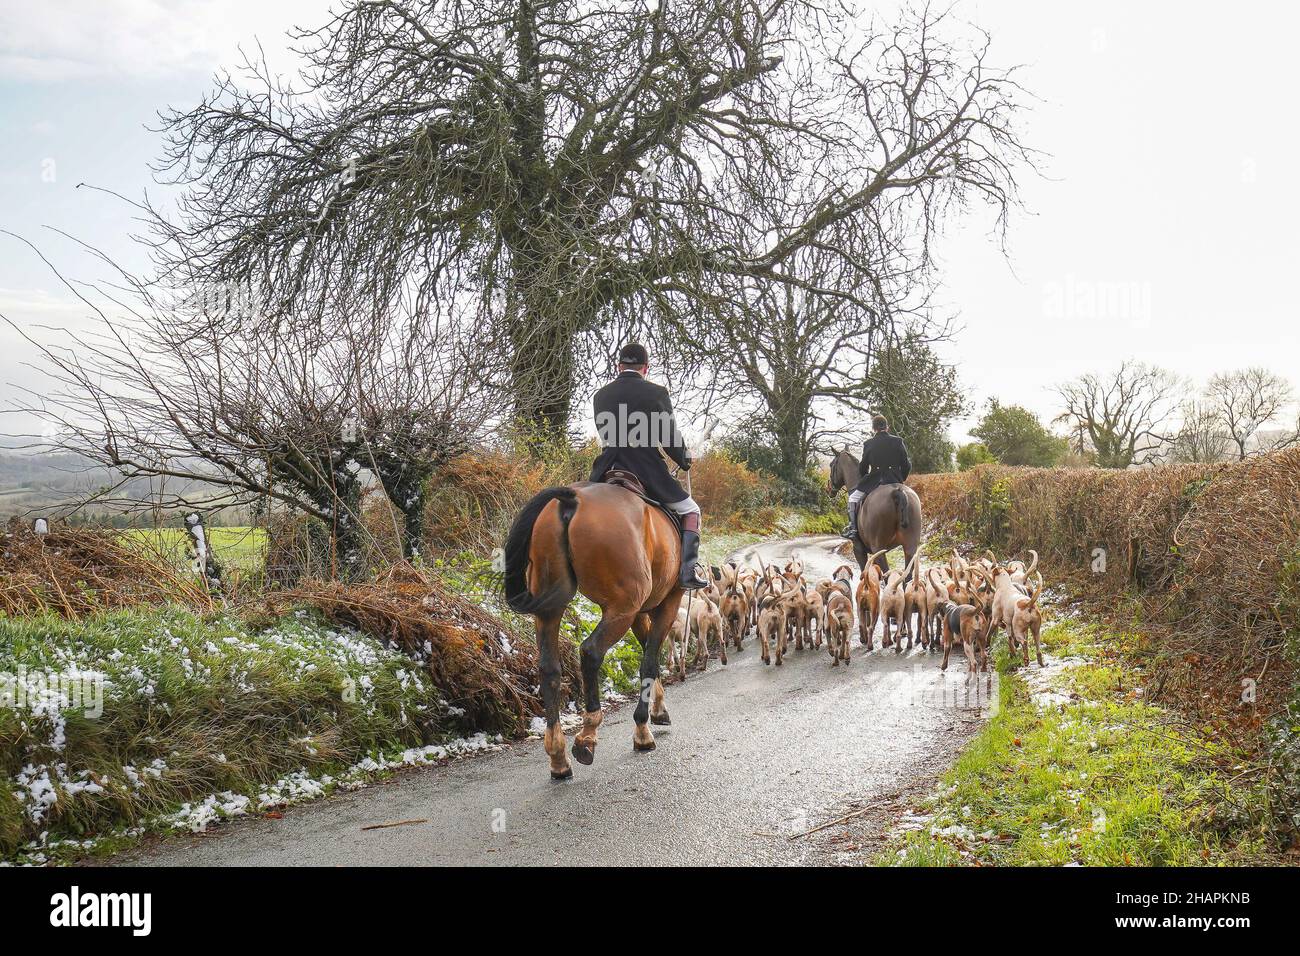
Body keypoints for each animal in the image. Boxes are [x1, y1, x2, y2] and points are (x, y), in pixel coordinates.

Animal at [499, 481, 686, 780]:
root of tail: (572, 497)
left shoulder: (640, 612)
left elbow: (651, 655)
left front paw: (659, 711)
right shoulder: (668, 601)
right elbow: (648, 662)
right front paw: (643, 730)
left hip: (552, 607)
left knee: (549, 669)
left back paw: (558, 757)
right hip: (621, 608)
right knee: (590, 652)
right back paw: (587, 735)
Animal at [826, 447, 920, 634]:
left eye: (832, 464)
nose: (829, 488)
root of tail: (898, 491)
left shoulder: (859, 550)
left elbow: (865, 575)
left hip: (879, 549)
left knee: (889, 579)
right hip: (910, 548)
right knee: (905, 579)